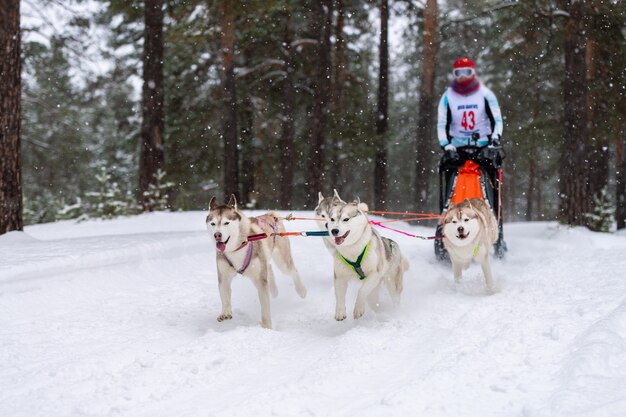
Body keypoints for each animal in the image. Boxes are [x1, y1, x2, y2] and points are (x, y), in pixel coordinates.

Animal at [206, 195, 306, 328]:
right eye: (213, 223)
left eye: (226, 222)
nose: (217, 235)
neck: (237, 248)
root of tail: (270, 215)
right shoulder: (224, 277)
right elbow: (225, 296)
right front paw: (226, 312)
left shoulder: (260, 280)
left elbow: (265, 309)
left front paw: (267, 328)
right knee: (269, 268)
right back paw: (274, 290)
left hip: (282, 262)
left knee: (292, 270)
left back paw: (301, 291)